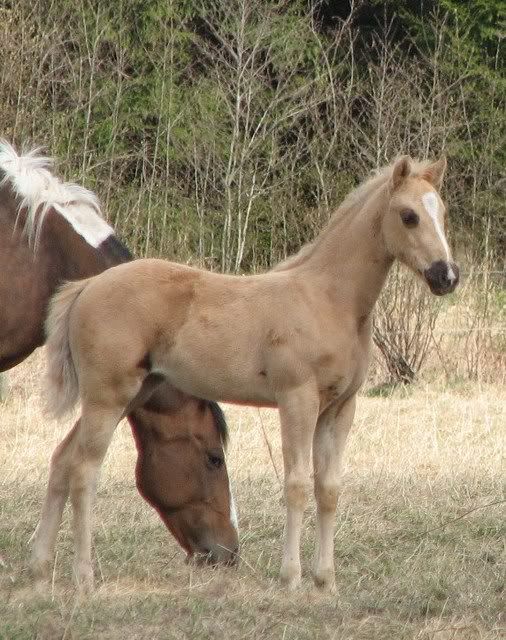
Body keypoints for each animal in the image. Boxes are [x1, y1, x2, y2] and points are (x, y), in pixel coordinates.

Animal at [39, 152, 458, 592]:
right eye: (409, 216)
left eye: (443, 213)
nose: (446, 276)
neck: (329, 300)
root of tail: (86, 287)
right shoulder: (297, 399)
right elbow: (297, 484)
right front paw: (291, 578)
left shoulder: (341, 407)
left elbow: (328, 488)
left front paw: (326, 581)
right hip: (107, 396)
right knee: (84, 471)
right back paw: (83, 578)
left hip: (132, 393)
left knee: (63, 460)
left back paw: (38, 568)